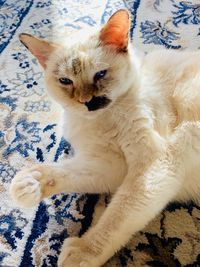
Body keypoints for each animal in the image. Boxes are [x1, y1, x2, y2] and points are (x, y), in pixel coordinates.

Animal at [9, 8, 200, 267]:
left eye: (100, 74)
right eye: (65, 81)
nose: (87, 102)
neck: (100, 120)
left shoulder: (154, 163)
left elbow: (117, 216)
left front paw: (83, 252)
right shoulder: (110, 165)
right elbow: (64, 171)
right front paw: (30, 182)